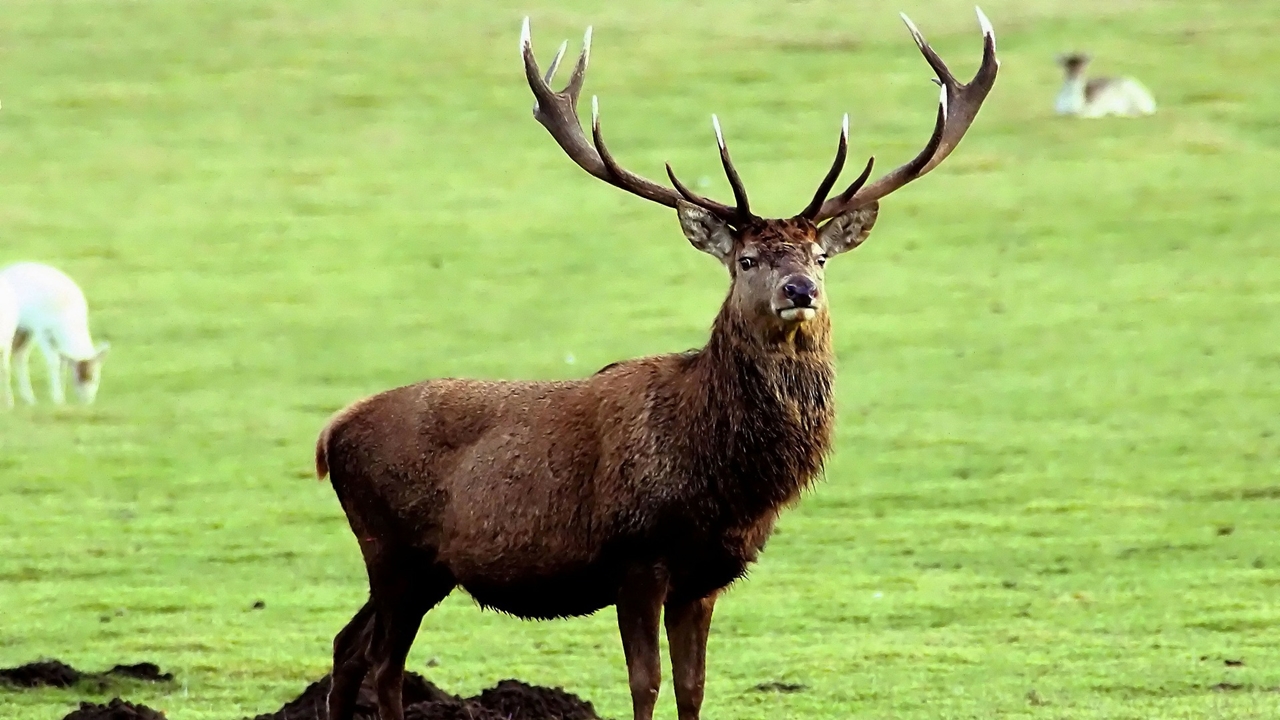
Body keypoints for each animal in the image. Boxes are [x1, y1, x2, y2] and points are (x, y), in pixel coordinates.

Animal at [1, 260, 110, 404]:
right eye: (77, 378)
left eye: (94, 377)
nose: (86, 401)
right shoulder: (41, 329)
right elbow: (54, 362)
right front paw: (57, 399)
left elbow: (62, 364)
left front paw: (61, 397)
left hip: (24, 330)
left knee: (20, 355)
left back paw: (30, 399)